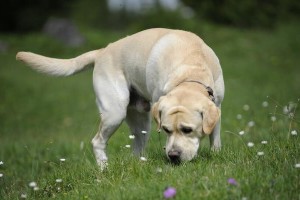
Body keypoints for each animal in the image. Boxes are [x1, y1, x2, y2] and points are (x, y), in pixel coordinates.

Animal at [15, 28, 223, 169]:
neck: (190, 69)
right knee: (97, 141)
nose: (172, 155)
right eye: (165, 130)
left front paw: (216, 154)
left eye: (187, 130)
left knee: (137, 146)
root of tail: (102, 51)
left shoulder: (217, 105)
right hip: (115, 113)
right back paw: (104, 169)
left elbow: (215, 135)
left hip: (141, 120)